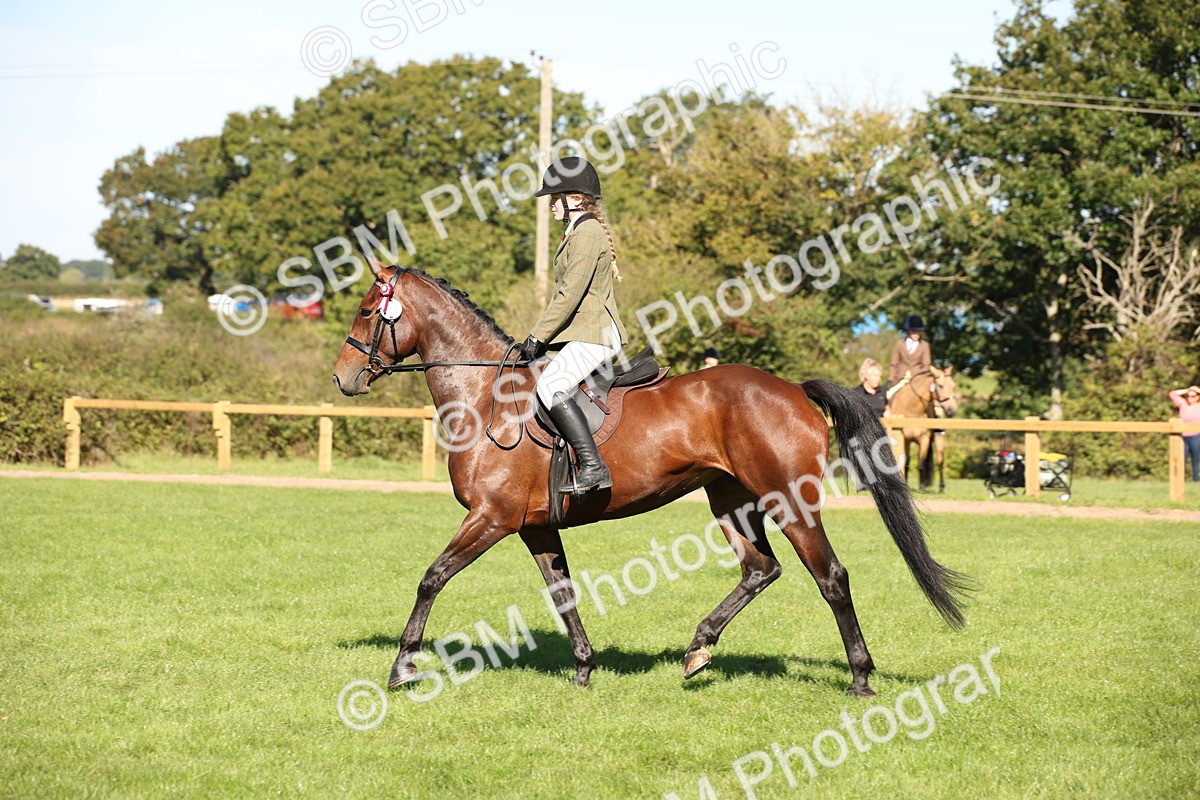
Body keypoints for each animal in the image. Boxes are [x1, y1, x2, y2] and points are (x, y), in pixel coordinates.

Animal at [332, 264, 971, 697]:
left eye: (366, 309)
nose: (342, 378)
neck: (487, 396)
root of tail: (792, 389)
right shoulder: (533, 526)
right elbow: (562, 594)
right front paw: (584, 667)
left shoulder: (490, 518)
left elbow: (431, 579)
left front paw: (402, 667)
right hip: (730, 500)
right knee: (759, 569)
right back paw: (698, 649)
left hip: (789, 500)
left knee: (830, 577)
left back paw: (860, 677)